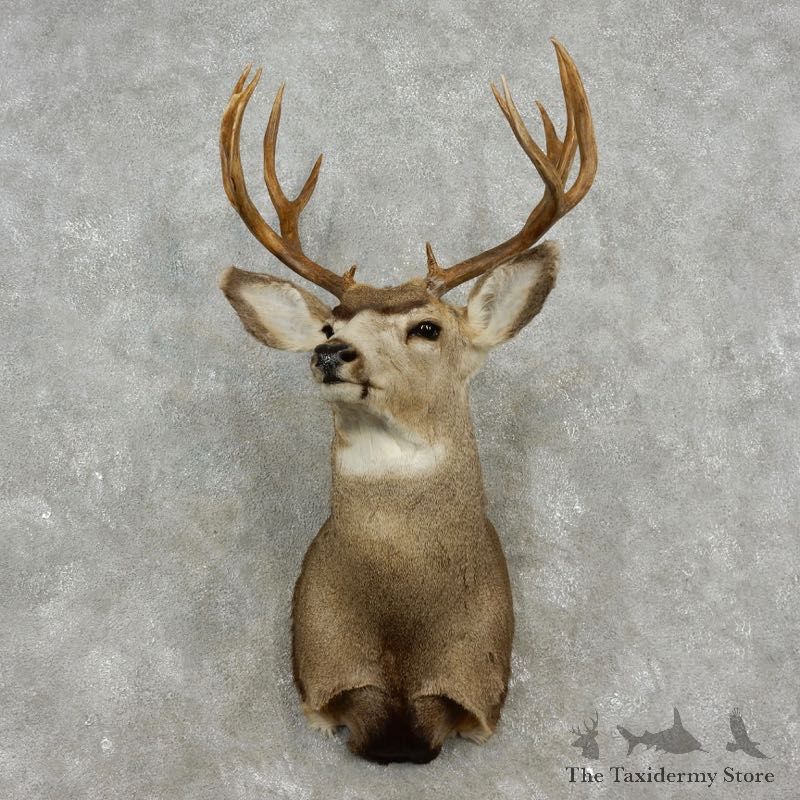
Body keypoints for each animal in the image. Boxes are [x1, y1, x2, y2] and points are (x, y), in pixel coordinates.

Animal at [218, 39, 596, 764]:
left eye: (427, 328)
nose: (332, 353)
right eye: (330, 327)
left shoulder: (477, 681)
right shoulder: (321, 668)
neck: (401, 626)